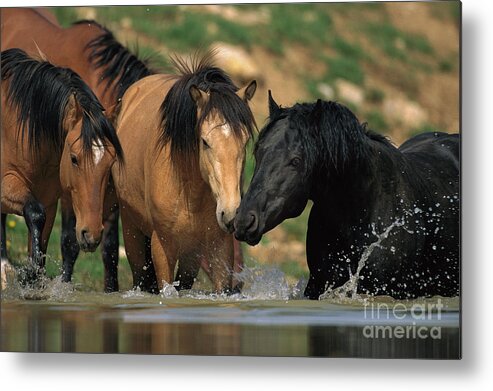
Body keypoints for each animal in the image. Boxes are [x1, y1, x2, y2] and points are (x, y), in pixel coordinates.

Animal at [0, 49, 123, 282]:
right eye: (74, 158)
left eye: (110, 163)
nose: (91, 234)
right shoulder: (7, 185)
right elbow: (34, 213)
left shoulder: (49, 202)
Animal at [112, 52, 256, 292]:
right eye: (205, 142)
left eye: (244, 142)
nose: (231, 214)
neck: (189, 191)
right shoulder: (162, 247)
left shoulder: (218, 247)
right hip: (132, 231)